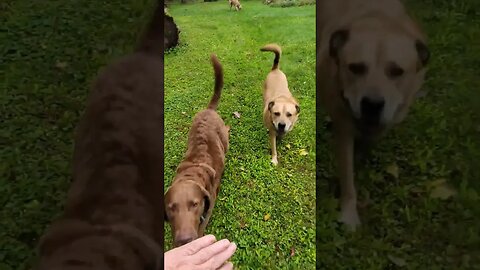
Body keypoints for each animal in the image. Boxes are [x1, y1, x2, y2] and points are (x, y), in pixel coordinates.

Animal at [164, 53, 230, 248]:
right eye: (171, 208)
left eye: (195, 204)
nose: (184, 241)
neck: (191, 174)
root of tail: (208, 109)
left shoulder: (209, 205)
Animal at [316, 0, 430, 230]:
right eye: (355, 68)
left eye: (397, 71)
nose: (372, 104)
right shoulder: (344, 127)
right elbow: (347, 177)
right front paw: (349, 214)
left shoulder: (386, 120)